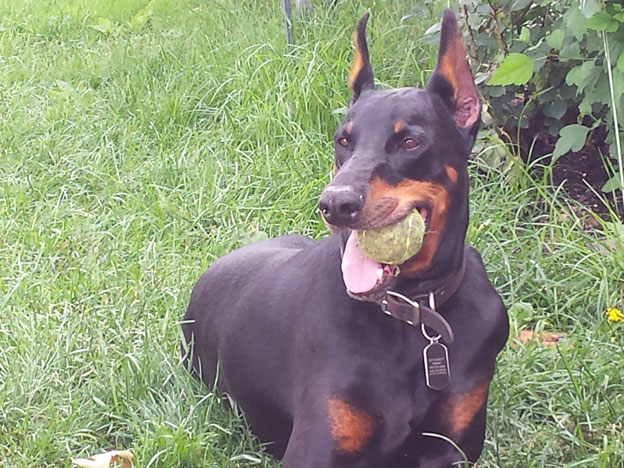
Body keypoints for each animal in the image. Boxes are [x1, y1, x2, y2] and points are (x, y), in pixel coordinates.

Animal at [180, 11, 508, 468]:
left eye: (410, 141)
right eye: (343, 140)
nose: (335, 204)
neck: (411, 316)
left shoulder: (453, 447)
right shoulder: (315, 447)